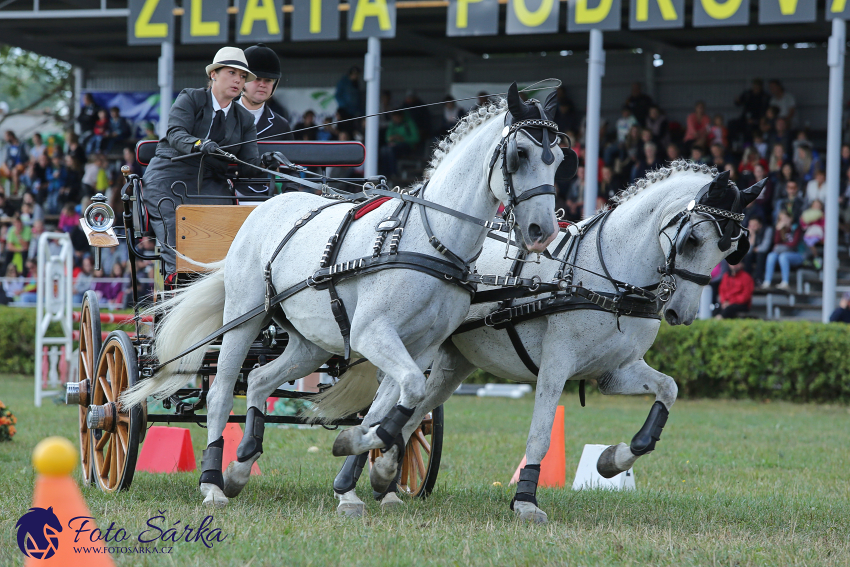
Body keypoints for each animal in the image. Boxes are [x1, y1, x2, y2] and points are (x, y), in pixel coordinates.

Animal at [122, 83, 568, 506]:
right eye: (520, 153)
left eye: (560, 160)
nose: (542, 232)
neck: (430, 240)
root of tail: (264, 207)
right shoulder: (373, 333)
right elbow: (407, 391)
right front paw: (367, 460)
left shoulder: (421, 346)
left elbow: (392, 403)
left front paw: (369, 473)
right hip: (243, 318)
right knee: (219, 392)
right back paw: (213, 482)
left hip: (309, 341)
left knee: (261, 380)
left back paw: (242, 464)